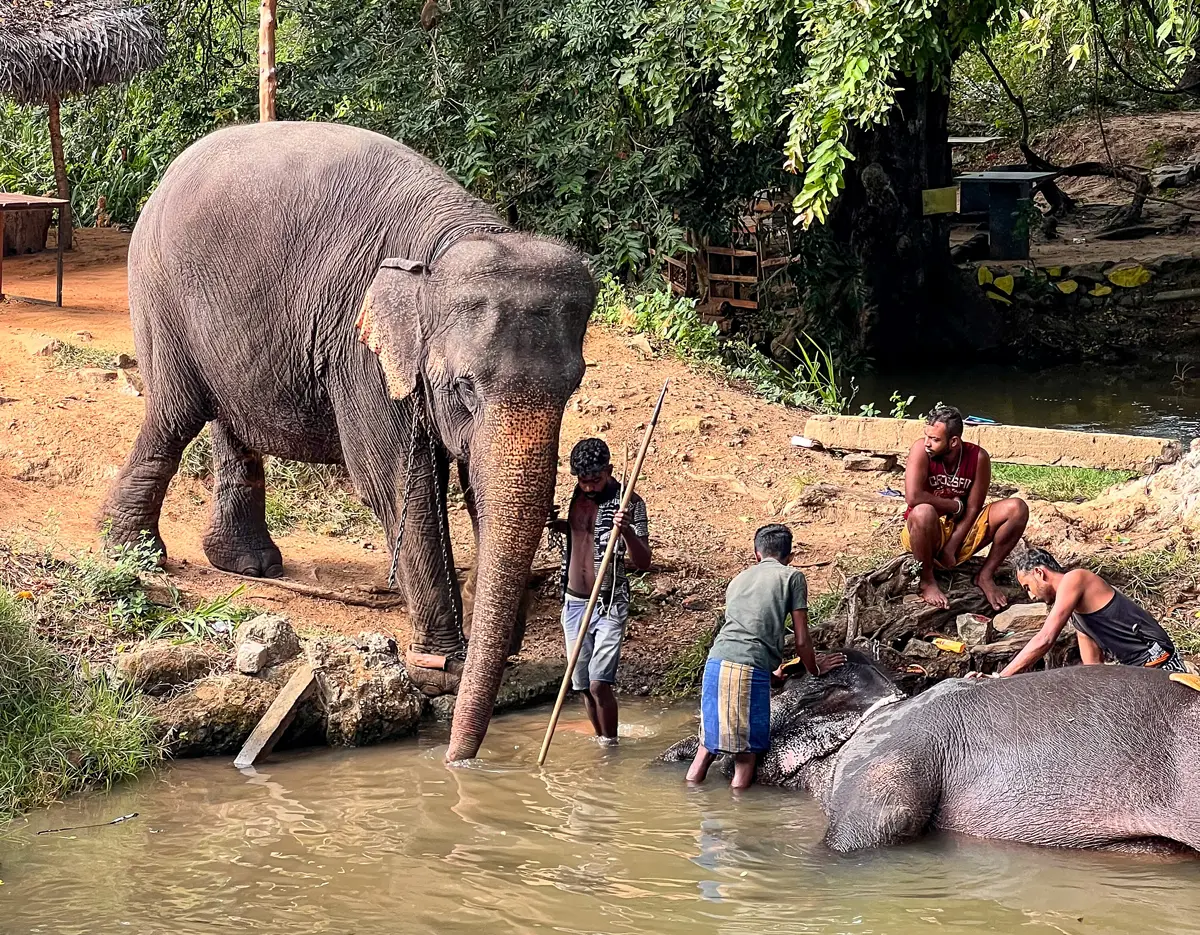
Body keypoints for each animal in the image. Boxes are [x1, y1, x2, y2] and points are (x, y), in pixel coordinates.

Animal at [101, 121, 596, 763]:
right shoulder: (360, 352)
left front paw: (495, 650)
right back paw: (134, 556)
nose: (458, 760)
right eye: (462, 386)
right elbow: (399, 484)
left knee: (228, 426)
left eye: (573, 386)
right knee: (172, 417)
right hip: (161, 299)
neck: (451, 242)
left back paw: (248, 564)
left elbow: (477, 487)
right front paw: (444, 663)